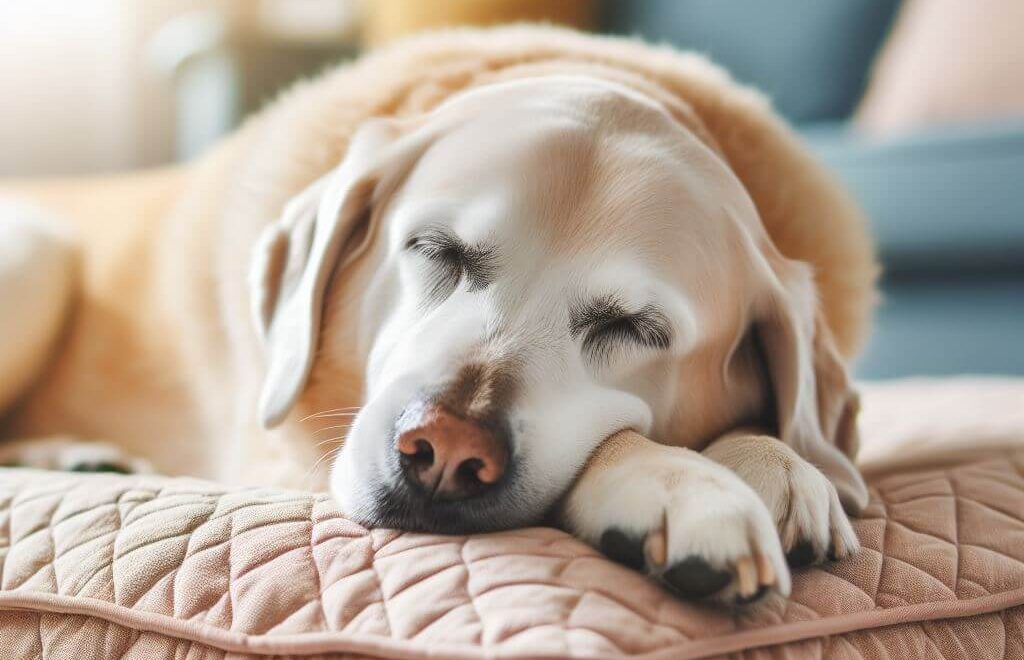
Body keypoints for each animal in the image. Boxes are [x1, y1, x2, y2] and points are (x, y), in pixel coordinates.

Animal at [4, 28, 876, 605]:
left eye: (636, 327)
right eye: (434, 248)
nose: (445, 452)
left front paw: (777, 462)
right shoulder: (294, 455)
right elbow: (622, 443)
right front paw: (683, 484)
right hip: (35, 255)